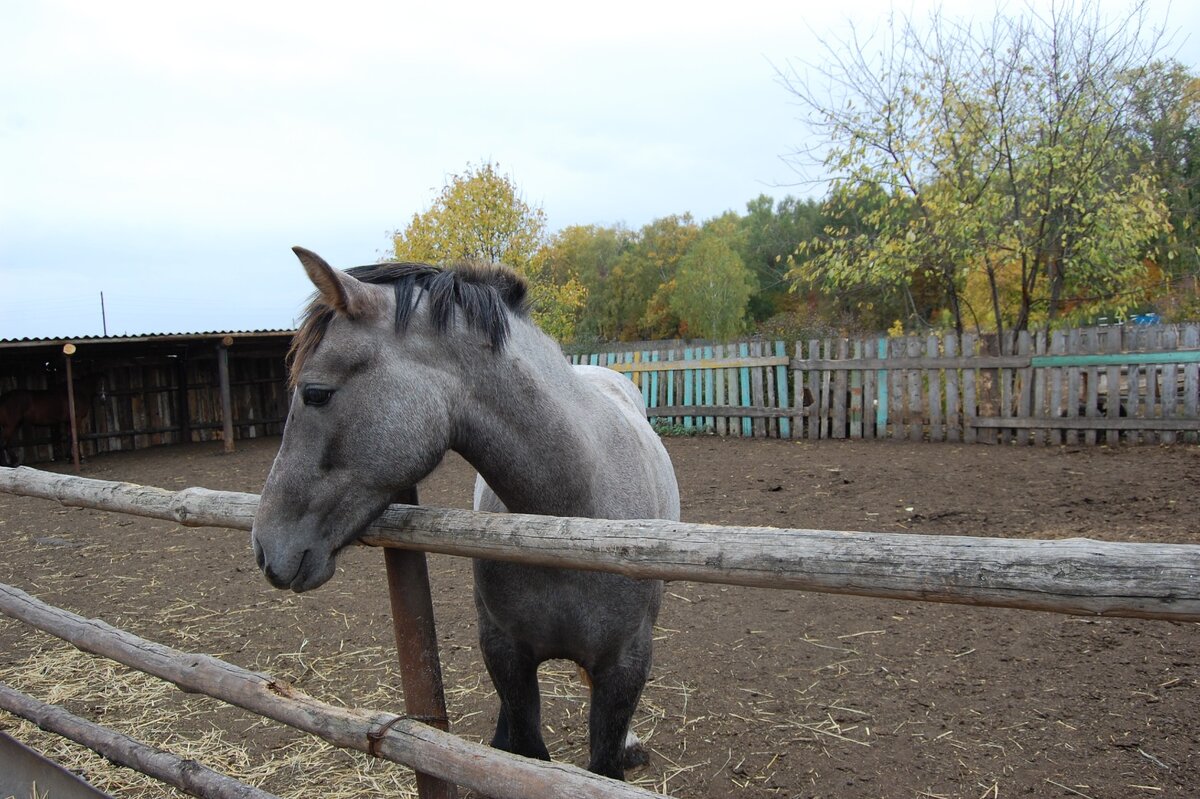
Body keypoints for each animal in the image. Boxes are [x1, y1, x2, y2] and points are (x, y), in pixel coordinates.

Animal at [253, 247, 681, 777]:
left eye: (315, 392)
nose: (265, 547)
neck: (572, 523)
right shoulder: (505, 653)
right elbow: (525, 748)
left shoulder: (624, 666)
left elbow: (603, 763)